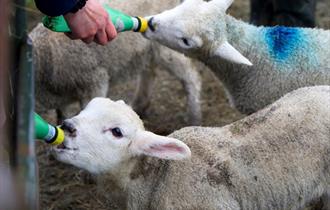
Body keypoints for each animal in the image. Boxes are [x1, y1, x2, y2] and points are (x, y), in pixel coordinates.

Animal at [30, 0, 201, 124]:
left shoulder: (94, 80)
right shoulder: (61, 96)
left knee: (191, 77)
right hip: (146, 48)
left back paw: (194, 117)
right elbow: (62, 114)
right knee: (149, 71)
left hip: (167, 44)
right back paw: (139, 105)